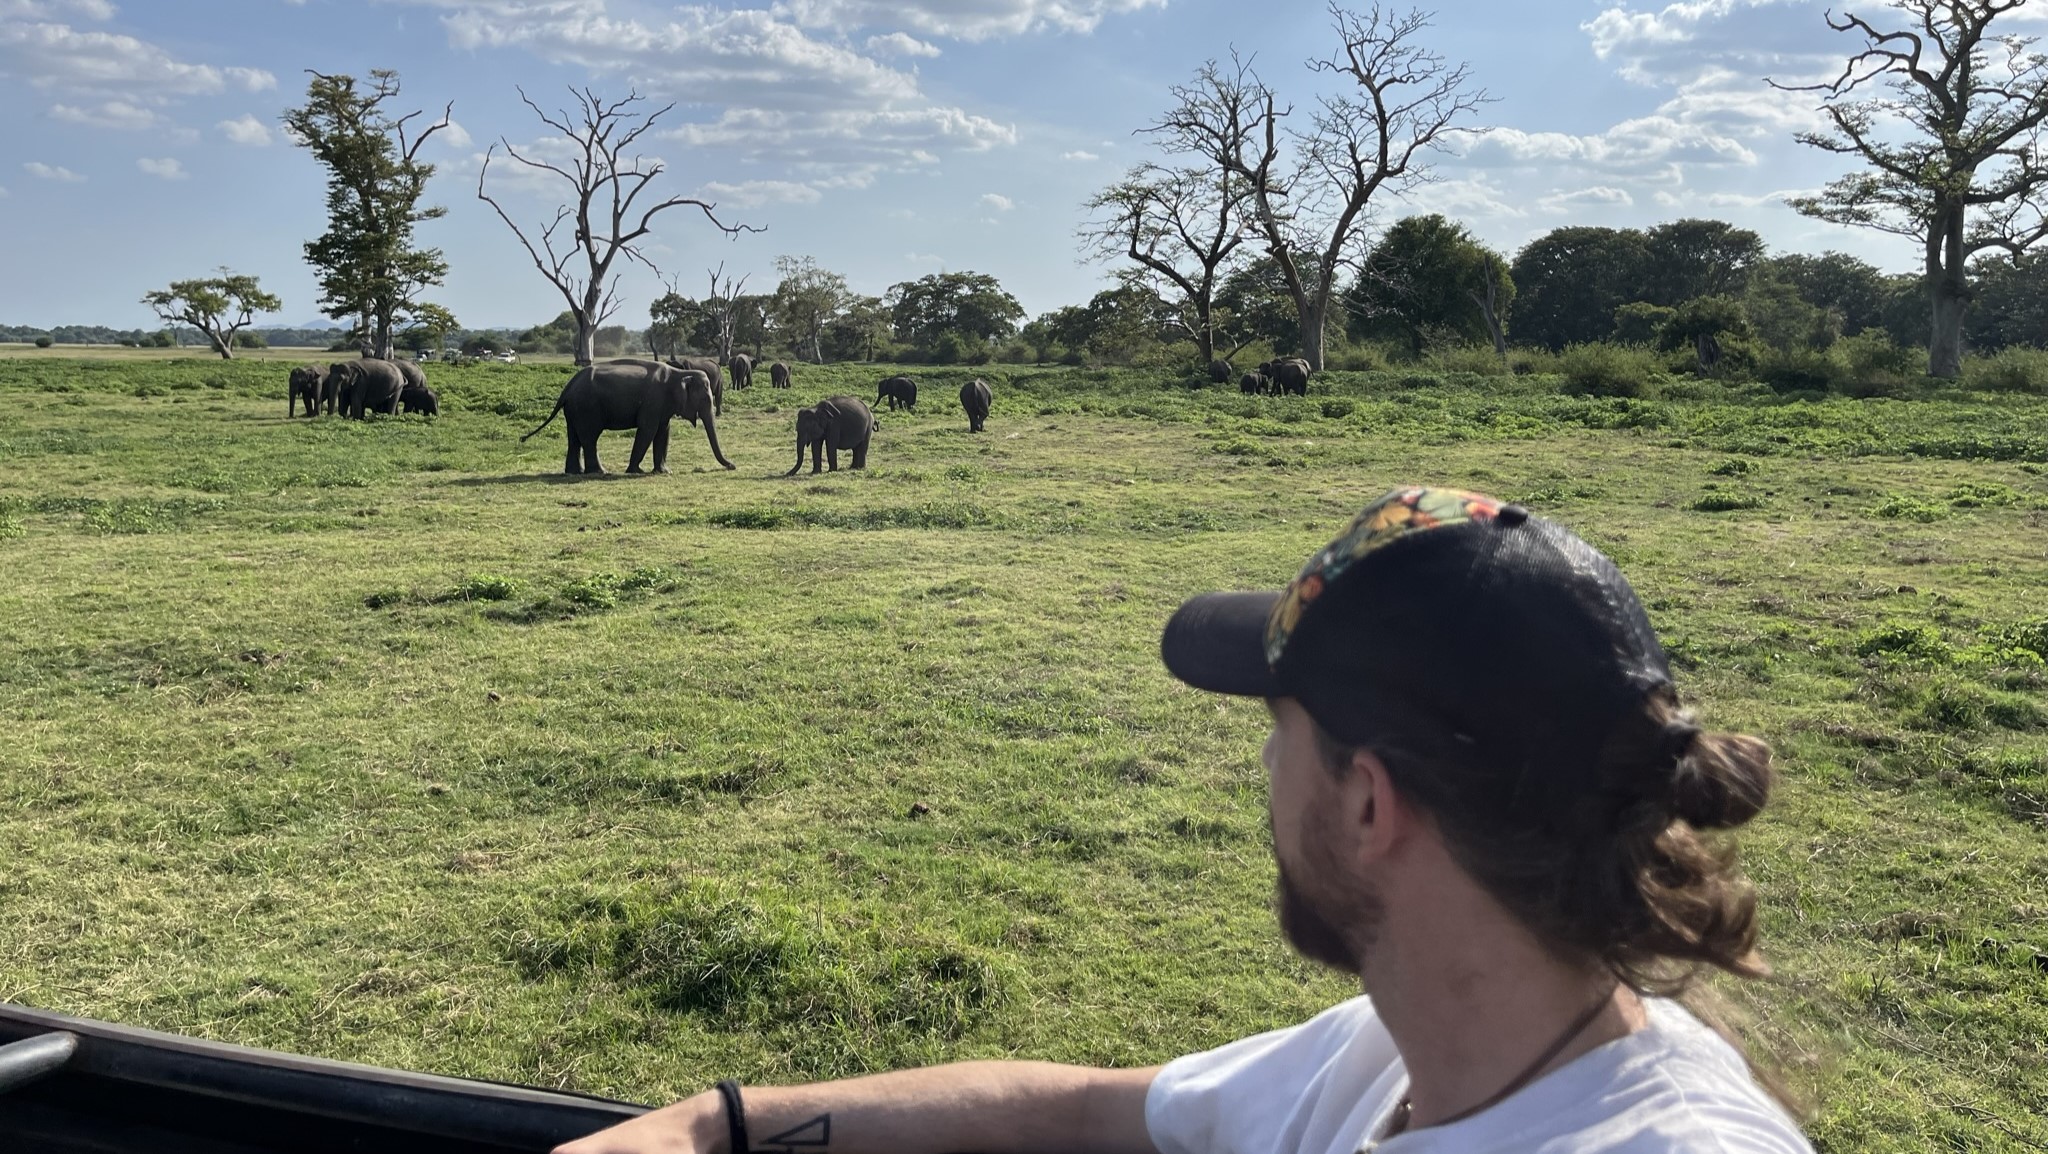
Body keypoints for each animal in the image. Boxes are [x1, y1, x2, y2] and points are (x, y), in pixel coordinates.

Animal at [524, 356, 733, 473]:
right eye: (705, 398)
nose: (732, 466)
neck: (678, 373)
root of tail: (568, 387)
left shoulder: (663, 406)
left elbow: (663, 432)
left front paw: (664, 472)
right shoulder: (653, 401)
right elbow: (647, 430)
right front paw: (635, 471)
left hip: (574, 410)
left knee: (574, 439)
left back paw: (574, 473)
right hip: (586, 408)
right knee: (590, 438)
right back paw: (600, 472)